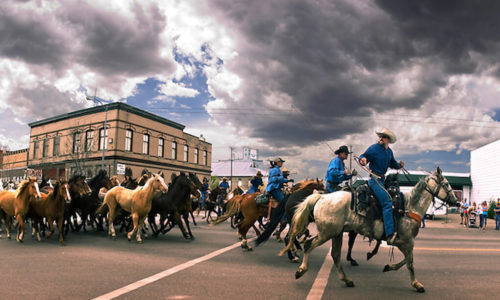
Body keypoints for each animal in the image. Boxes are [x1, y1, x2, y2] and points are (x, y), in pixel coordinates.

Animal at [282, 168, 458, 294]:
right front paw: (417, 284)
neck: (409, 206)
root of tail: (322, 197)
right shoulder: (406, 241)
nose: (456, 201)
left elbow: (406, 261)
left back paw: (347, 280)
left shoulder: (404, 243)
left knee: (335, 255)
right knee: (309, 244)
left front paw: (389, 267)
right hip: (326, 233)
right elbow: (410, 262)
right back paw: (301, 270)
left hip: (336, 233)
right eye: (446, 184)